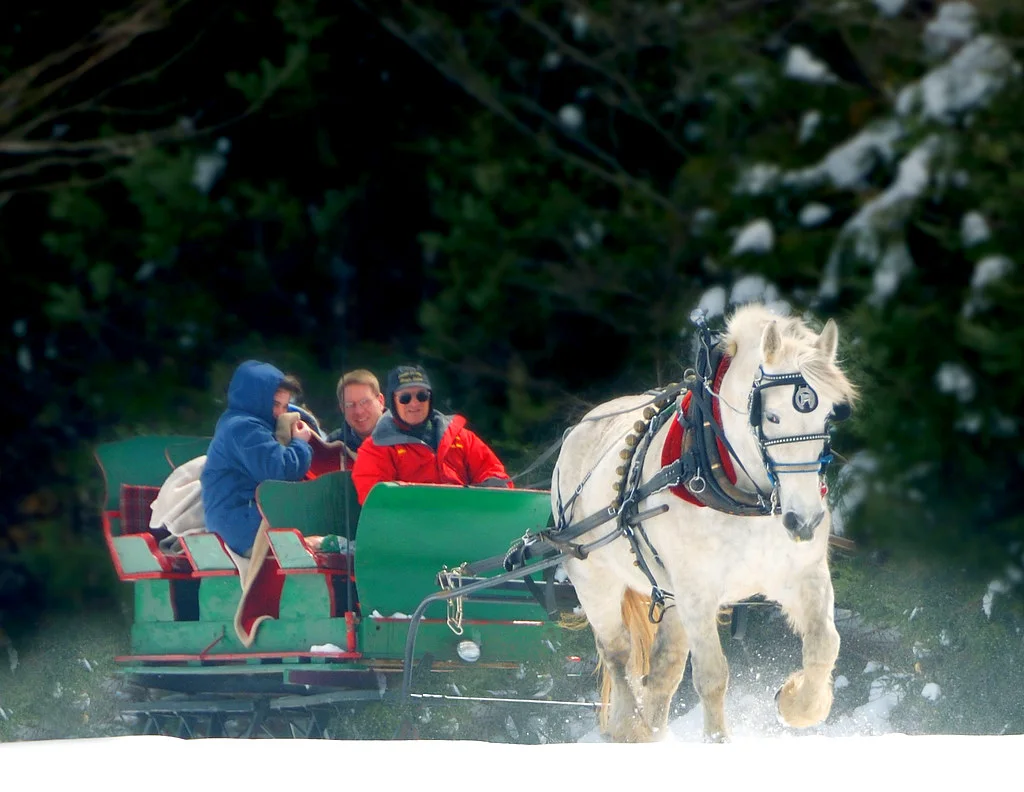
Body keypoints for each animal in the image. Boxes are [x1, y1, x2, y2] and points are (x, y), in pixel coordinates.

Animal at [552, 305, 856, 741]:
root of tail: (582, 425)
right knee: (618, 654)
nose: (805, 520)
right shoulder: (698, 591)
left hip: (669, 594)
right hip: (594, 580)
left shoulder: (803, 573)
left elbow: (824, 645)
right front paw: (717, 741)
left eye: (829, 417)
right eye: (772, 416)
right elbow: (712, 677)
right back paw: (629, 727)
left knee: (663, 669)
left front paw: (795, 702)